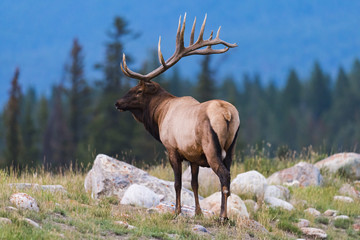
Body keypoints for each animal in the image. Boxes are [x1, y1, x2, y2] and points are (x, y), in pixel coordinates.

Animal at [115, 12, 239, 219]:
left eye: (138, 91)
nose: (117, 102)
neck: (160, 115)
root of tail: (227, 113)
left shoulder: (172, 148)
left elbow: (177, 183)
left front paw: (177, 211)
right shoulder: (193, 156)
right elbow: (195, 184)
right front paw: (198, 212)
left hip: (211, 147)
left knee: (224, 176)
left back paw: (223, 216)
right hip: (230, 148)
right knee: (228, 176)